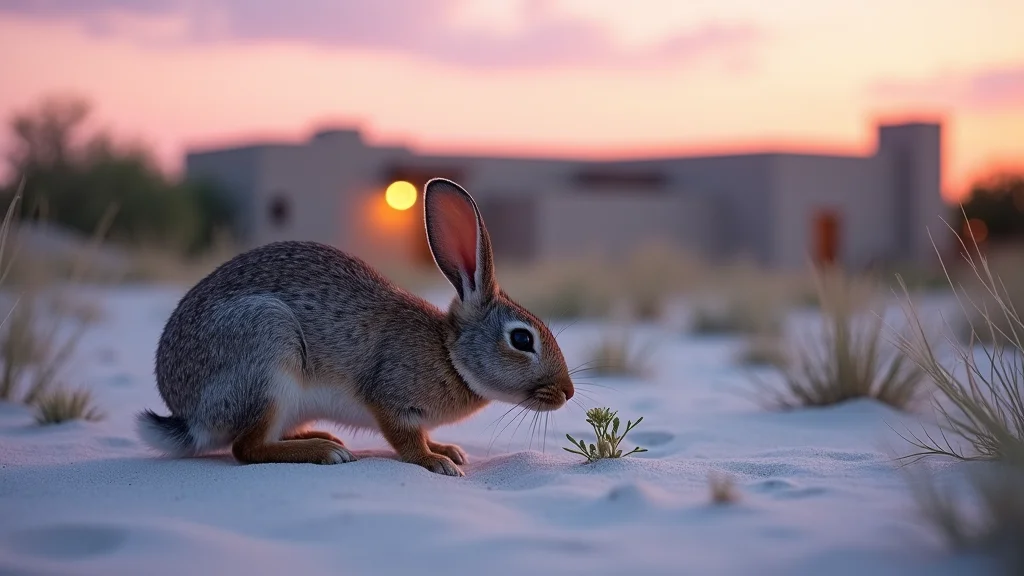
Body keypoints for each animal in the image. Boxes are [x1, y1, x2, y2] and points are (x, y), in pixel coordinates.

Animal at [138, 177, 577, 473]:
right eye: (521, 339)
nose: (568, 392)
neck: (451, 356)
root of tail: (188, 416)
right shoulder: (389, 399)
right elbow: (406, 439)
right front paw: (436, 461)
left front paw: (447, 450)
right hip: (267, 355)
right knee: (246, 448)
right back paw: (326, 451)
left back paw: (321, 438)